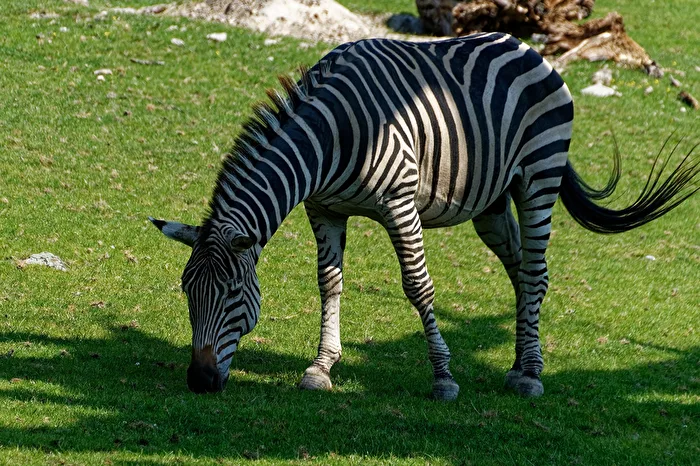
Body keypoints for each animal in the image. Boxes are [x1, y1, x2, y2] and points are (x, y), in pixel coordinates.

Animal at [149, 33, 699, 399]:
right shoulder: (323, 208)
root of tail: (524, 45)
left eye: (232, 295)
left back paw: (532, 376)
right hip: (491, 202)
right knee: (521, 273)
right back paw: (520, 363)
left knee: (538, 273)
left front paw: (443, 377)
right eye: (187, 293)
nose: (199, 381)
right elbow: (329, 283)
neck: (331, 137)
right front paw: (322, 367)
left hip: (538, 177)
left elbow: (417, 286)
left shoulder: (398, 202)